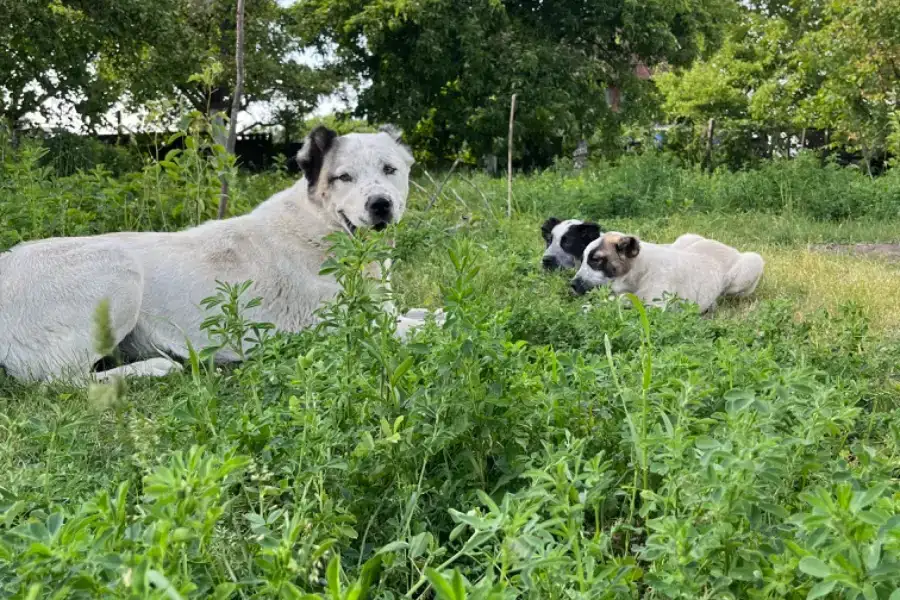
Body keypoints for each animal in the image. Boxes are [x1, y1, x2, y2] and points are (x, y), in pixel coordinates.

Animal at [0, 124, 442, 382]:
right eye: (343, 177)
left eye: (390, 170)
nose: (381, 205)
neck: (323, 229)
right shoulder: (345, 328)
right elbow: (436, 324)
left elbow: (432, 312)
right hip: (119, 271)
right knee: (64, 380)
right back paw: (158, 367)